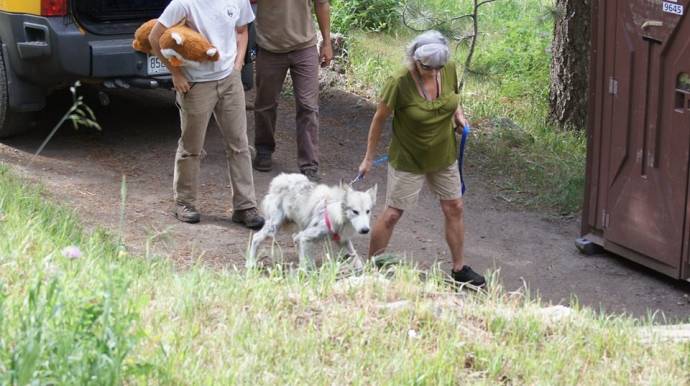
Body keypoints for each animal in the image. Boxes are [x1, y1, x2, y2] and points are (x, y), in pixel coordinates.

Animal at [247, 173, 376, 270]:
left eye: (368, 211)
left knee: (295, 239)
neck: (335, 213)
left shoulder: (343, 240)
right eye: (355, 211)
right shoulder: (306, 237)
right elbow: (306, 264)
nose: (365, 230)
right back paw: (250, 263)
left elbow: (355, 257)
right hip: (273, 227)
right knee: (256, 237)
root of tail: (280, 180)